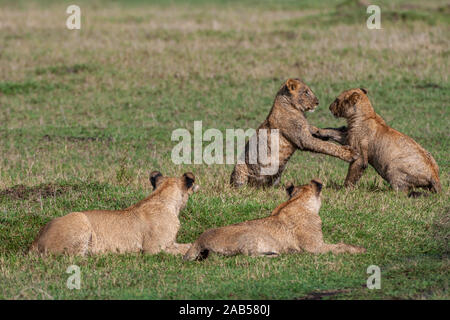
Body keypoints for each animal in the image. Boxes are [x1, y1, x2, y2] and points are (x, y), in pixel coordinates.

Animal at [28, 171, 197, 256]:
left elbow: (187, 245)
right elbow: (186, 249)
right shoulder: (153, 249)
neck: (162, 197)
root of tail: (34, 242)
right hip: (79, 218)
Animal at [312, 87, 442, 195]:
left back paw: (381, 191)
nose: (329, 107)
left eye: (337, 100)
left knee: (402, 191)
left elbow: (353, 172)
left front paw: (344, 189)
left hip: (393, 167)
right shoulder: (349, 136)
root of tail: (434, 176)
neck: (366, 114)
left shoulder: (359, 151)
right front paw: (316, 131)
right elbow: (333, 130)